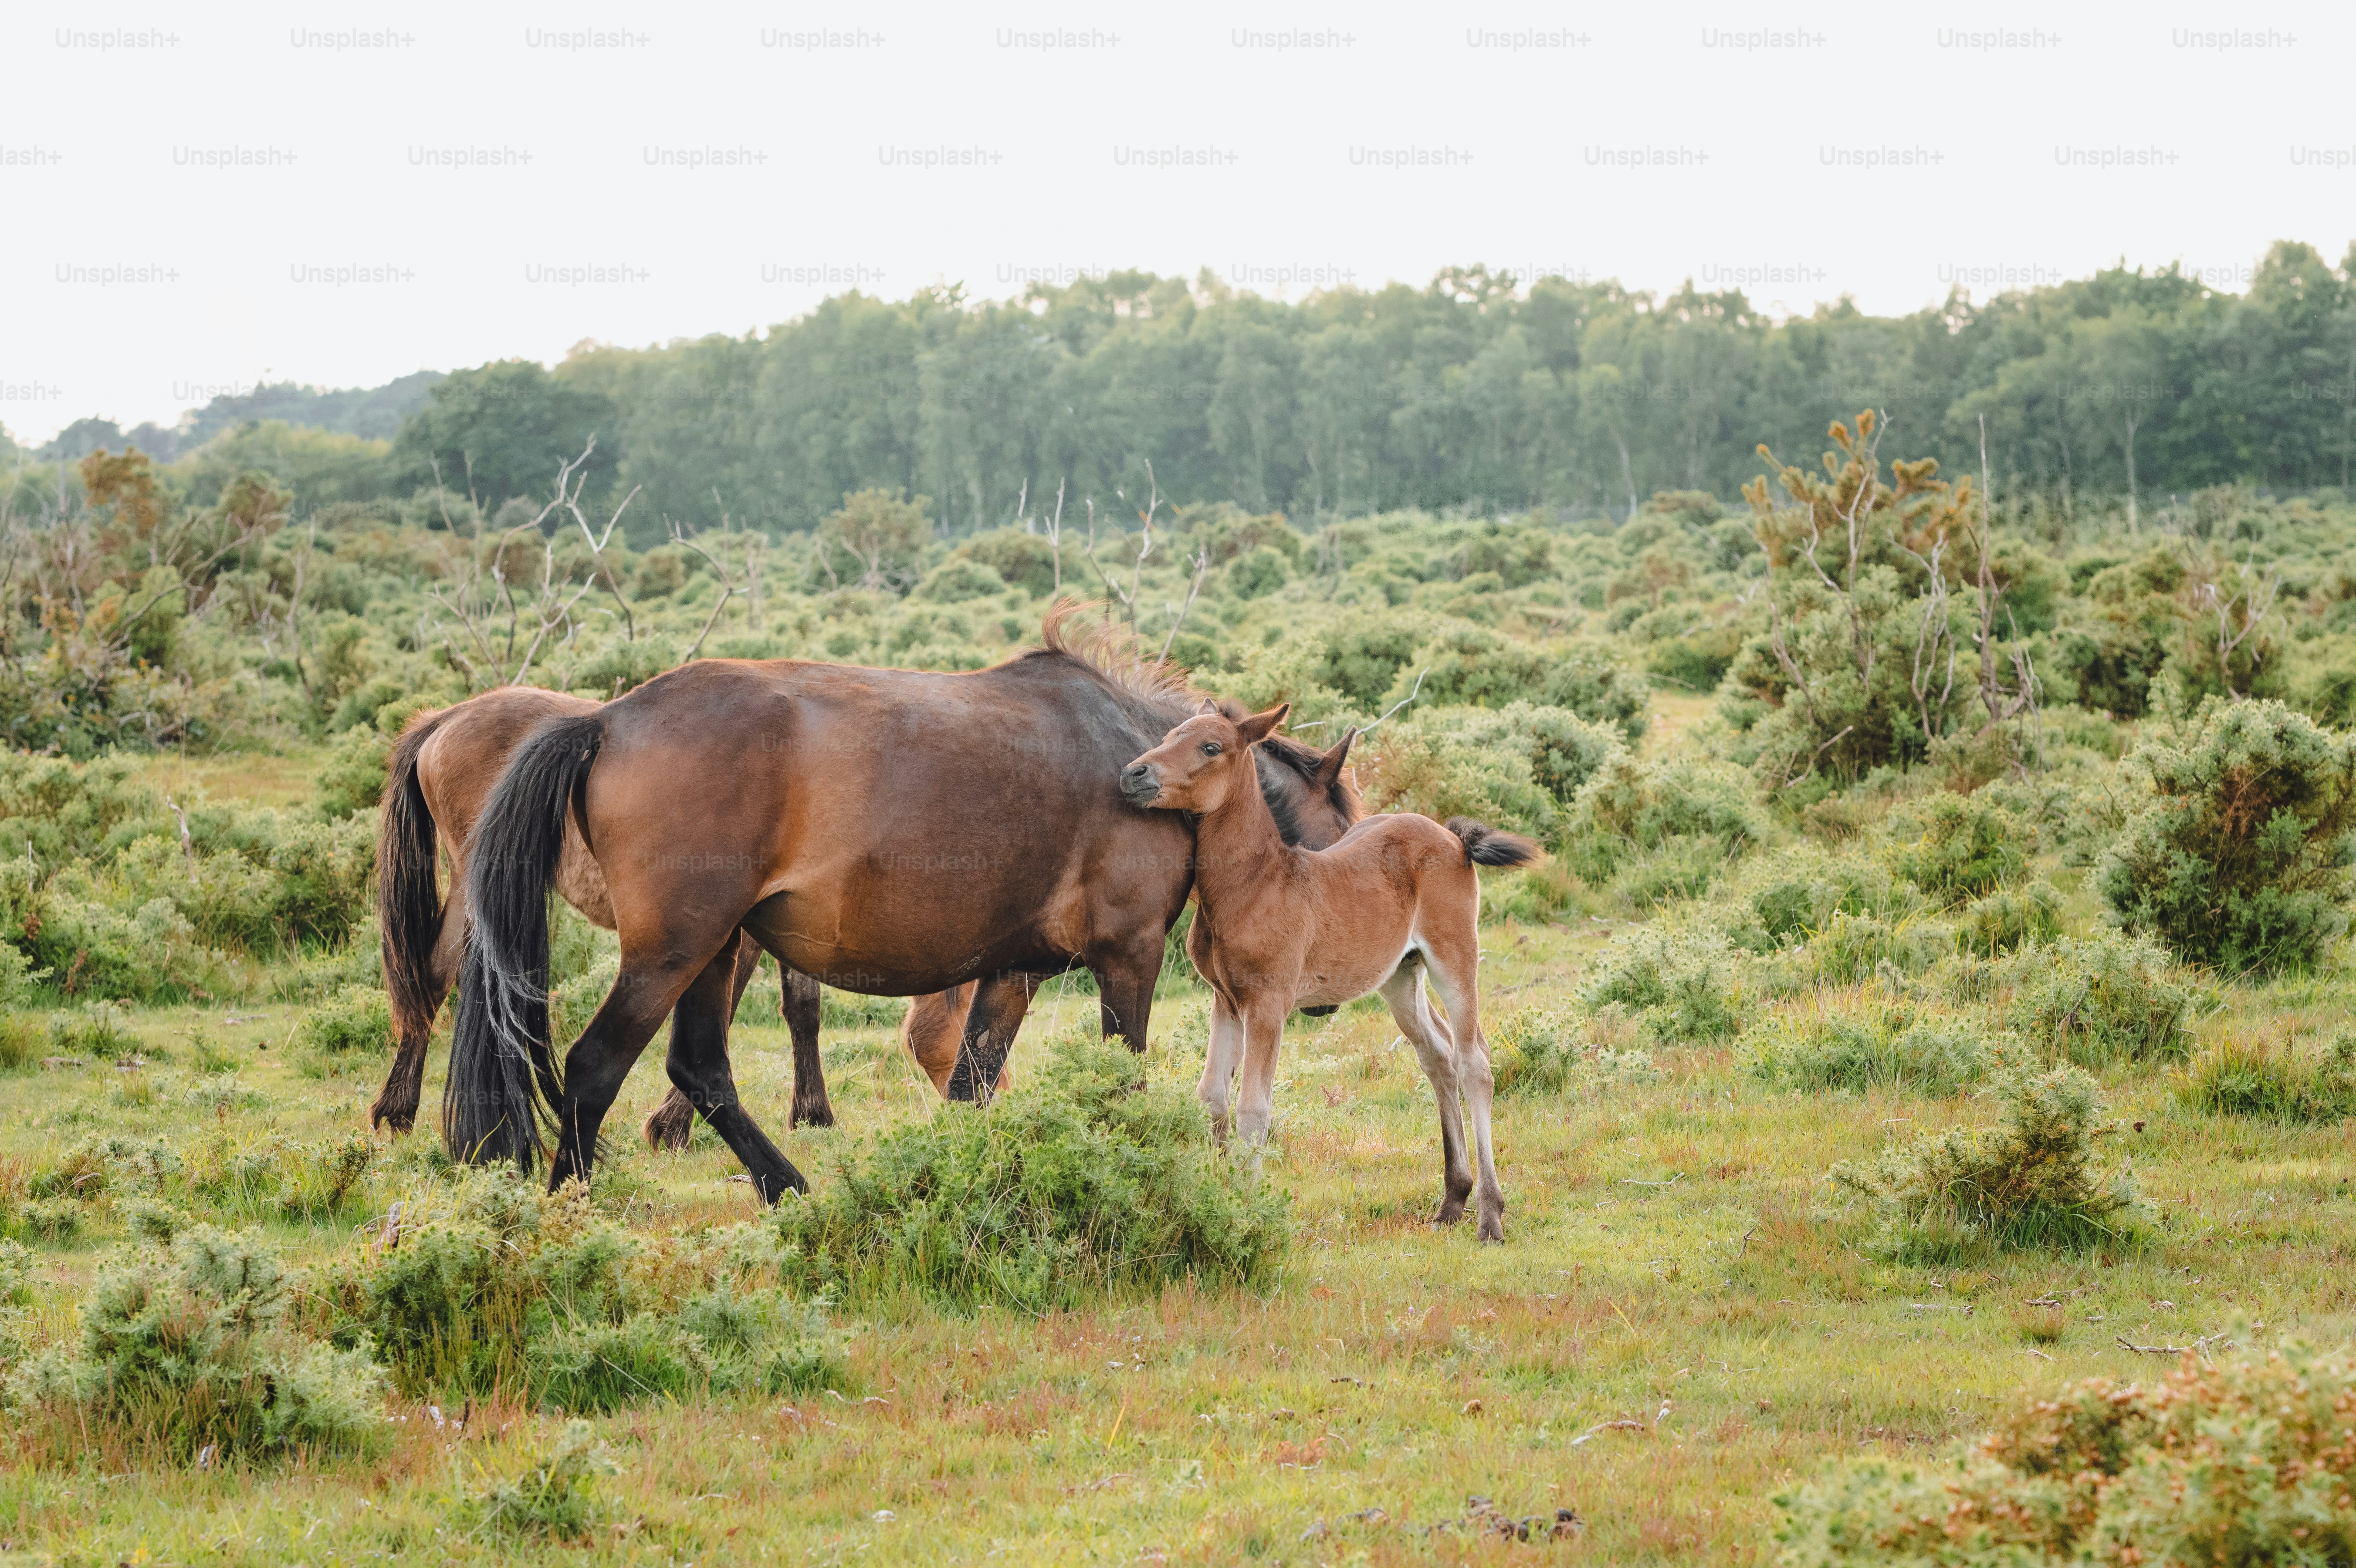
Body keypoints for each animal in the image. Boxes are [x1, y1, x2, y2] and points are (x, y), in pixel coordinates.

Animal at [448, 605, 1361, 1198]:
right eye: (1342, 835)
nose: (1325, 997)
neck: (1147, 760)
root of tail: (607, 719)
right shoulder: (1127, 956)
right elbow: (1120, 1080)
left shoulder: (1011, 974)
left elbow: (970, 1087)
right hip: (674, 951)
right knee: (593, 1067)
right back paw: (574, 1203)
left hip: (714, 949)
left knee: (700, 1070)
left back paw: (787, 1187)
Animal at [1121, 702, 1538, 1243]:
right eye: (1170, 735)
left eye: (1210, 747)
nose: (1134, 774)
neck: (1251, 885)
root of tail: (1453, 837)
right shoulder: (1225, 1001)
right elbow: (1212, 1098)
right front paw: (1216, 1202)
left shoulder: (1268, 1004)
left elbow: (1253, 1110)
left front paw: (1247, 1217)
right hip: (1400, 977)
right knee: (1437, 1057)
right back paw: (1452, 1200)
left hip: (1454, 958)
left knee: (1474, 1063)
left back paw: (1489, 1215)